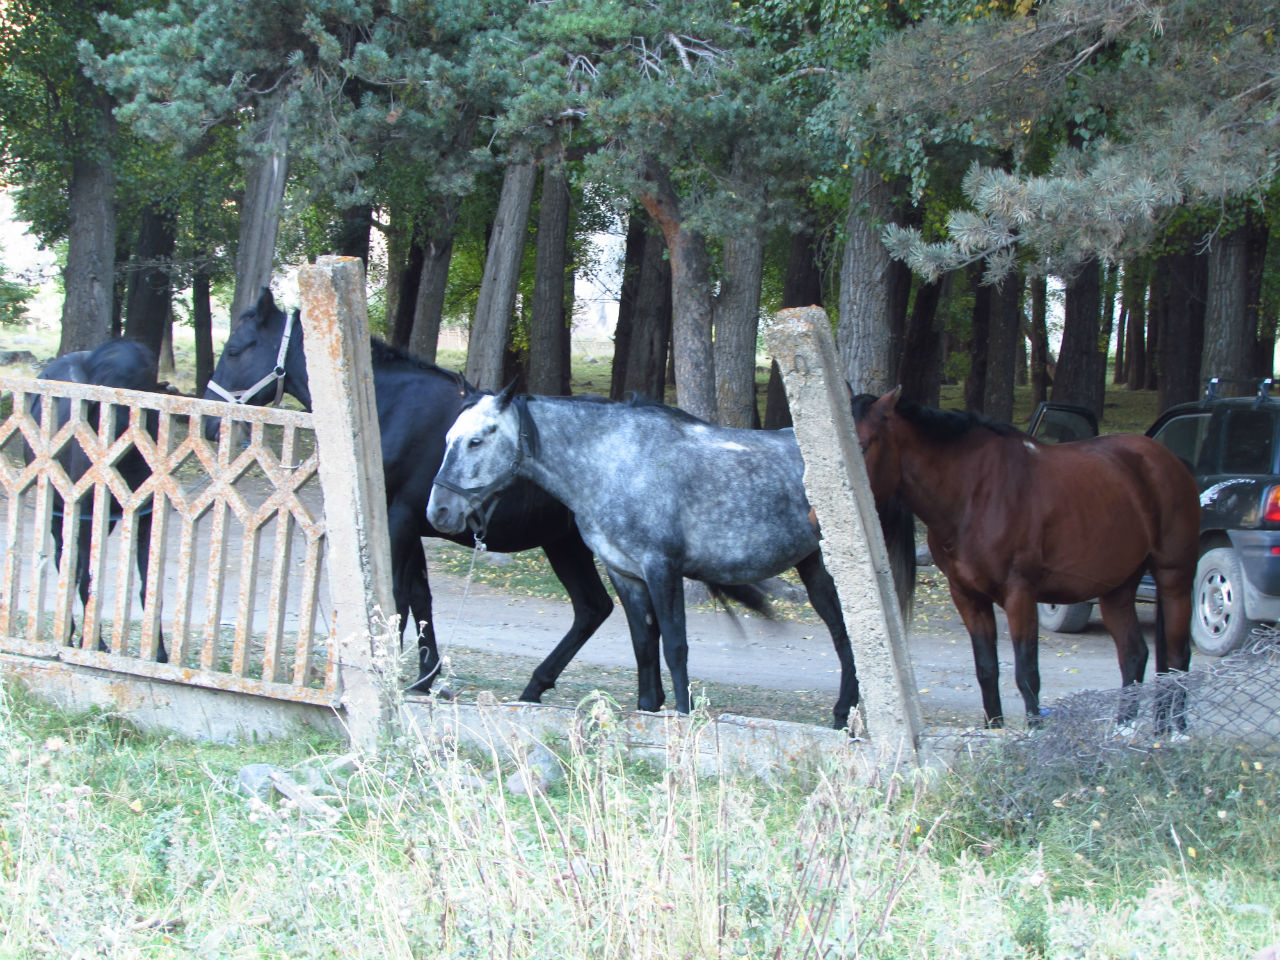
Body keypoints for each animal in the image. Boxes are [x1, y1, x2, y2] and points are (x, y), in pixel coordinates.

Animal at [28, 337, 168, 660]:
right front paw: (91, 642)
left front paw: (158, 653)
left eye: (138, 389)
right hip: (61, 515)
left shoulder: (146, 521)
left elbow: (148, 586)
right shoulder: (85, 518)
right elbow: (85, 578)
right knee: (66, 563)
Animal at [204, 288, 614, 701]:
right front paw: (424, 678)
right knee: (593, 608)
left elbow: (397, 599)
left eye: (235, 350)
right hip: (563, 543)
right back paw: (534, 688)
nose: (208, 422)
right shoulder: (412, 524)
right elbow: (420, 598)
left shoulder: (396, 522)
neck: (387, 408)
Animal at [430, 386, 921, 732]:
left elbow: (675, 647)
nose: (439, 512)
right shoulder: (625, 574)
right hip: (814, 566)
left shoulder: (661, 569)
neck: (614, 462)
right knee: (843, 633)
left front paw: (684, 719)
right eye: (448, 438)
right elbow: (644, 647)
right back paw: (842, 715)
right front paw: (648, 712)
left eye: (476, 442)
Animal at [849, 386, 1198, 732]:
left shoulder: (1020, 594)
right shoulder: (967, 596)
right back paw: (1124, 730)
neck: (973, 493)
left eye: (863, 444)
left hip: (1174, 577)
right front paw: (995, 728)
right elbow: (987, 669)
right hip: (1117, 588)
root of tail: (1170, 460)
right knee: (1134, 654)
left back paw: (1176, 731)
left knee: (1178, 657)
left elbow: (1026, 672)